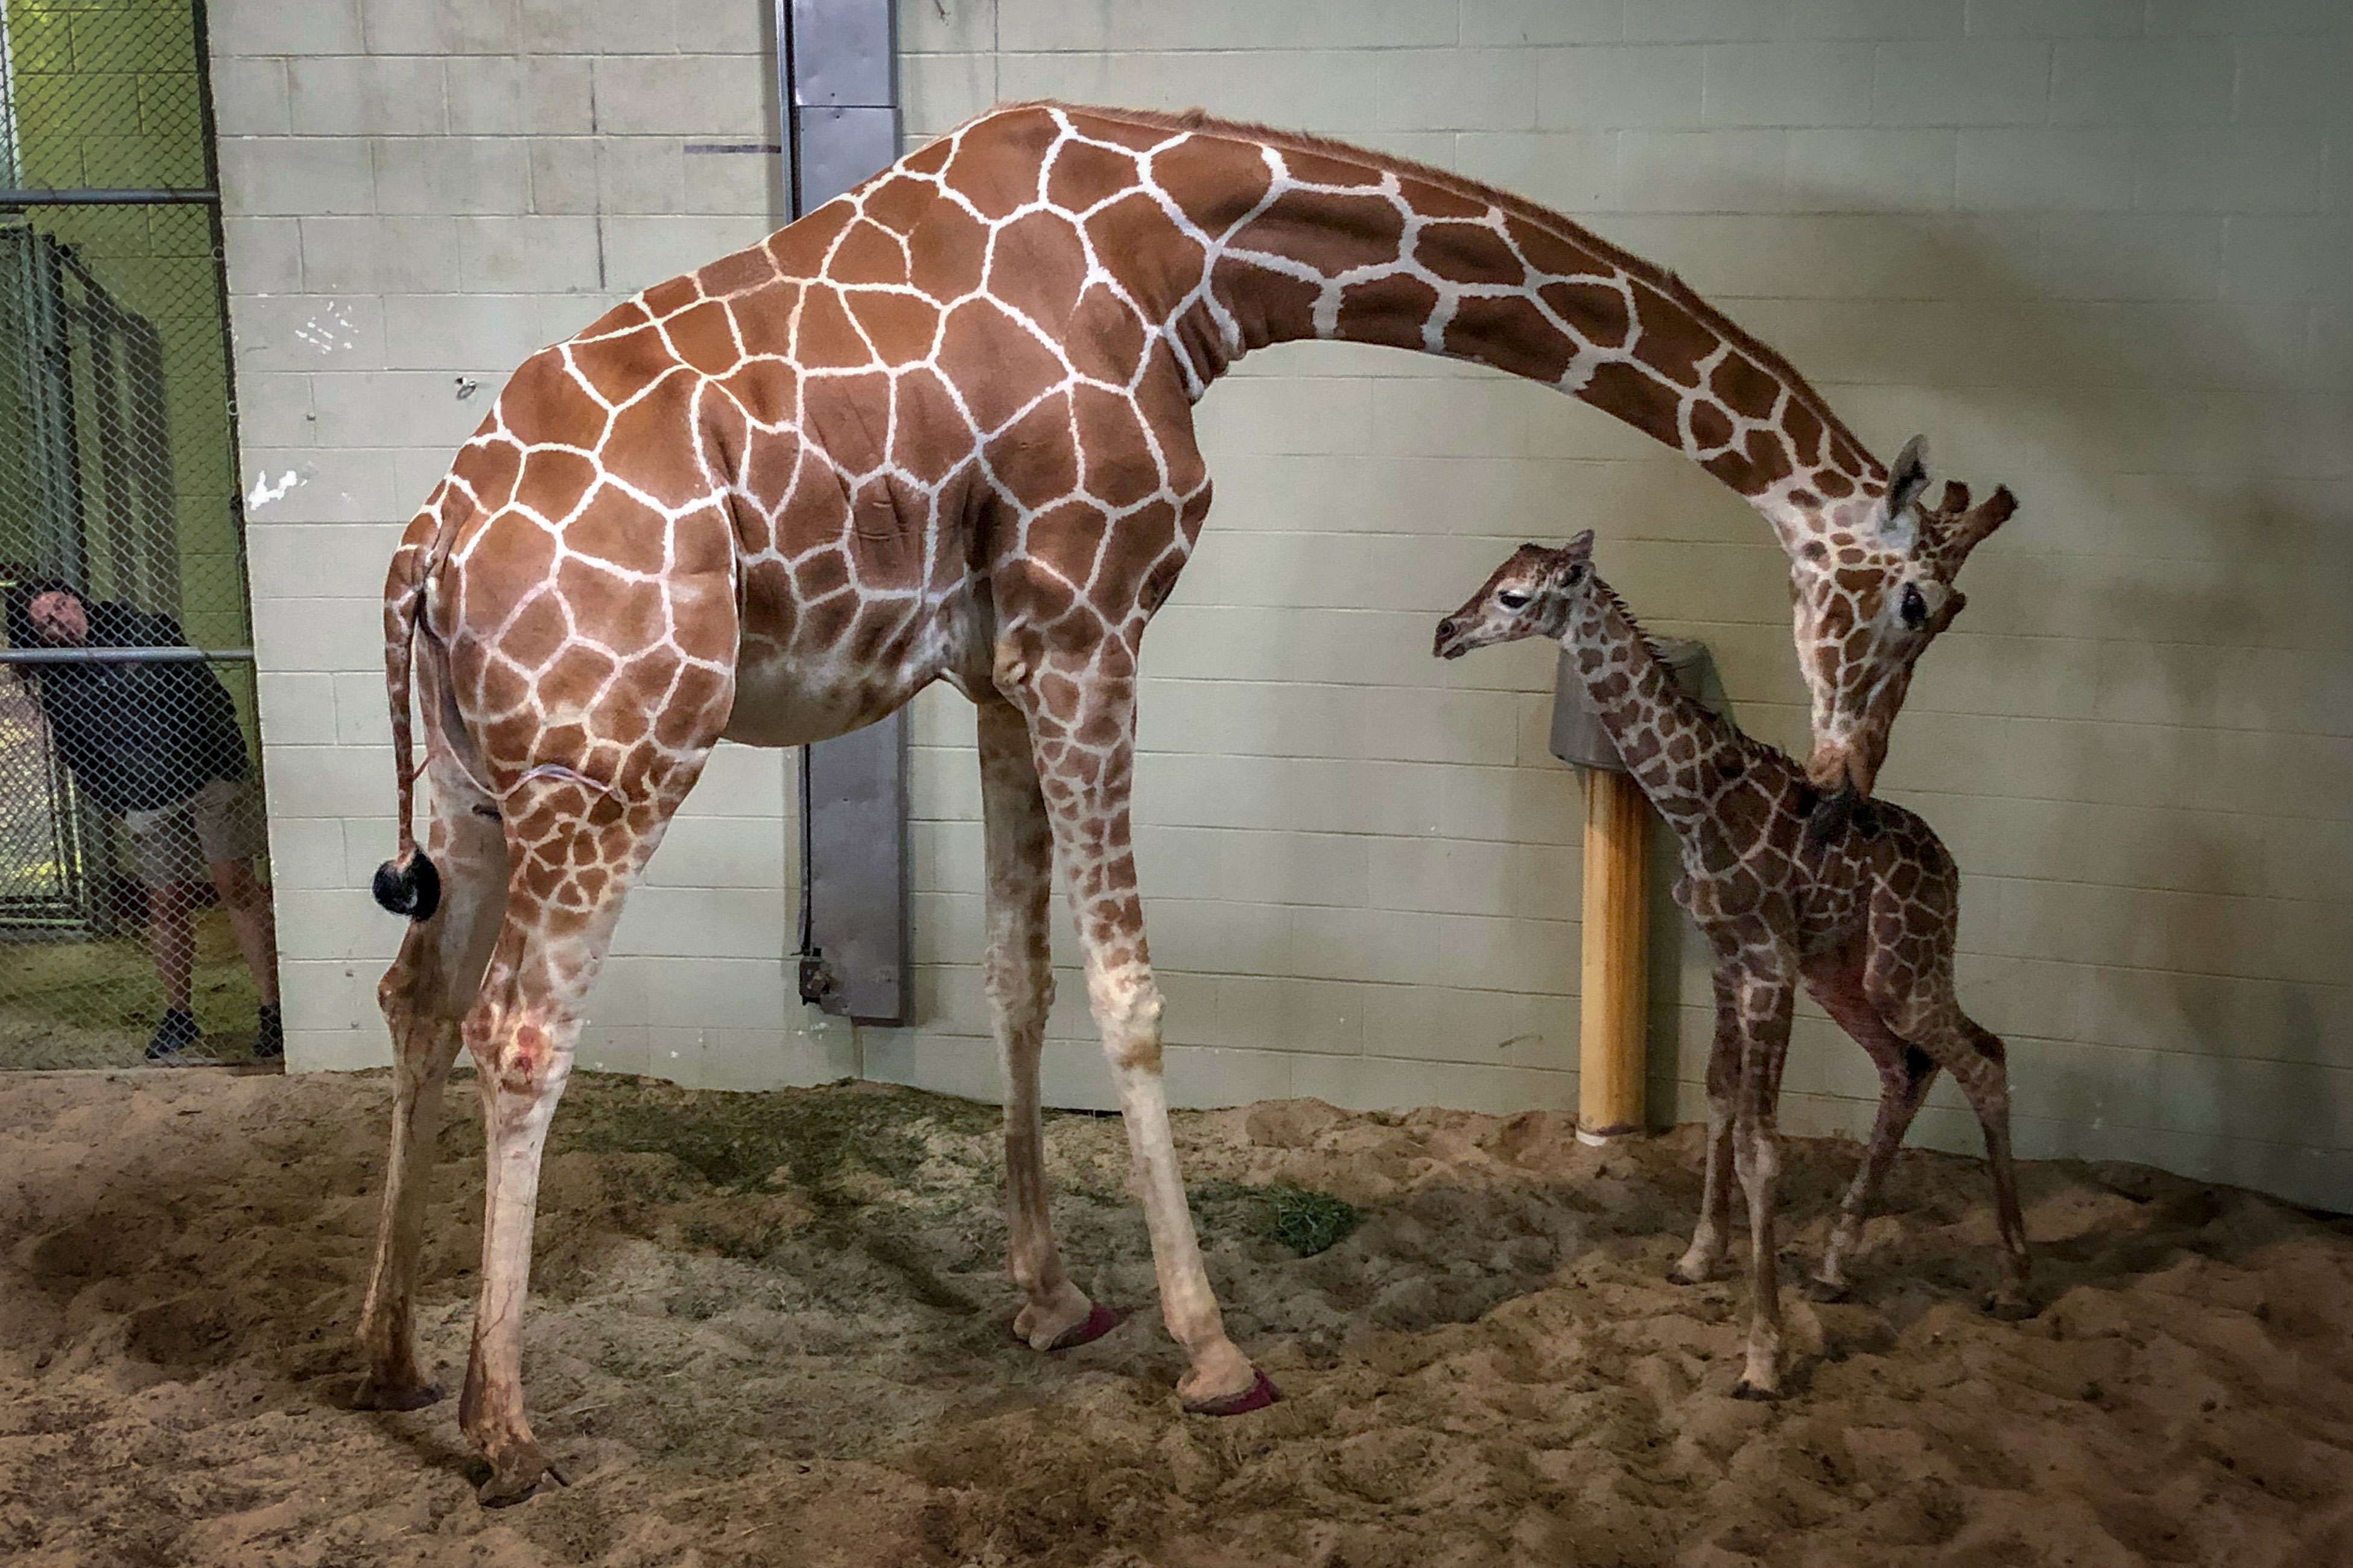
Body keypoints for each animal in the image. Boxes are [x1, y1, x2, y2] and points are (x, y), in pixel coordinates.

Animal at [1433, 523, 2027, 1398]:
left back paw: (2016, 1280)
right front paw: (1696, 1257)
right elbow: (1716, 1096)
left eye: (1514, 594)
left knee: (1983, 1056)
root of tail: (1952, 872)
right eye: (1493, 572)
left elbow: (1761, 1146)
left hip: (1903, 967)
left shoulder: (1768, 967)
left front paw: (1763, 1357)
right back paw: (1836, 1263)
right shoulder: (1726, 958)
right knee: (1906, 1066)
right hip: (1846, 975)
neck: (1694, 802)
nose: (1445, 631)